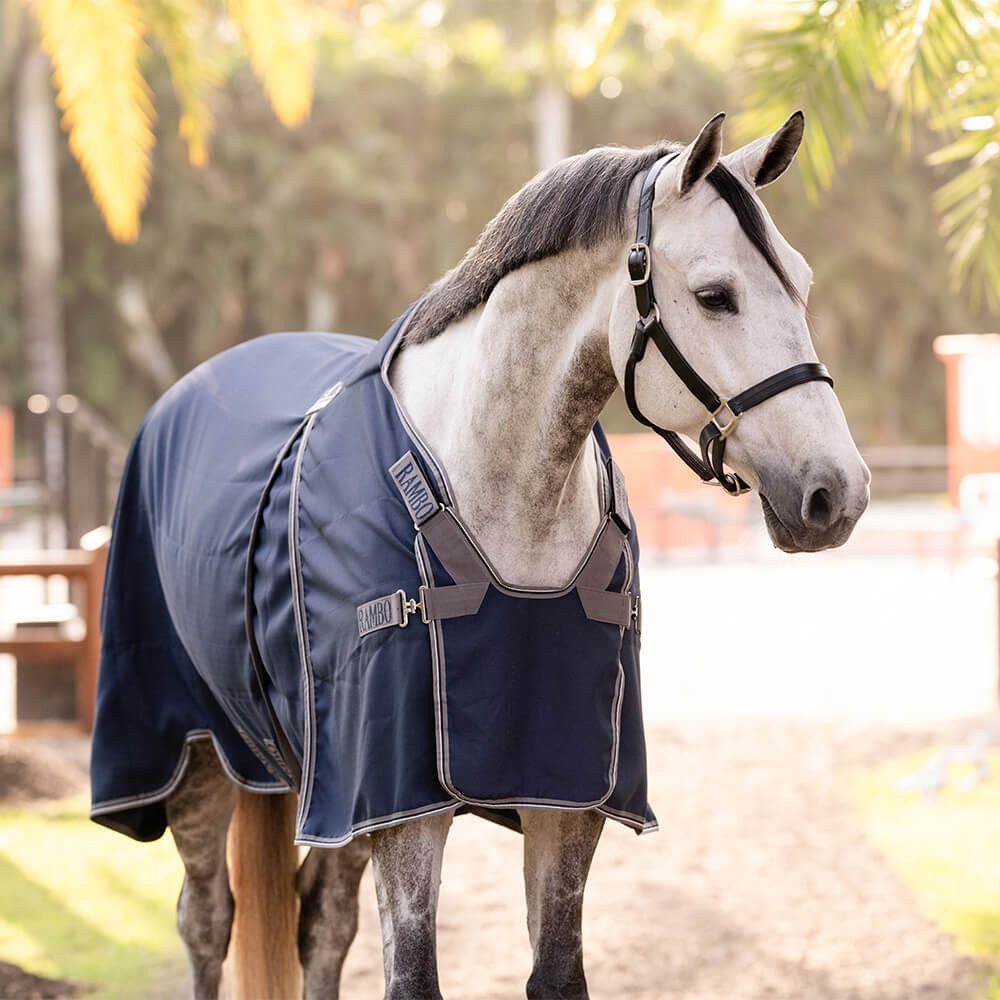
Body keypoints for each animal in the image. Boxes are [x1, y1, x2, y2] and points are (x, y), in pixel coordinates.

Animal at [88, 111, 869, 1000]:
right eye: (715, 296)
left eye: (801, 284)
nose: (836, 492)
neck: (506, 498)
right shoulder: (402, 807)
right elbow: (411, 976)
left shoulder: (563, 798)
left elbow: (557, 972)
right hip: (199, 760)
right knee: (207, 920)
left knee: (320, 926)